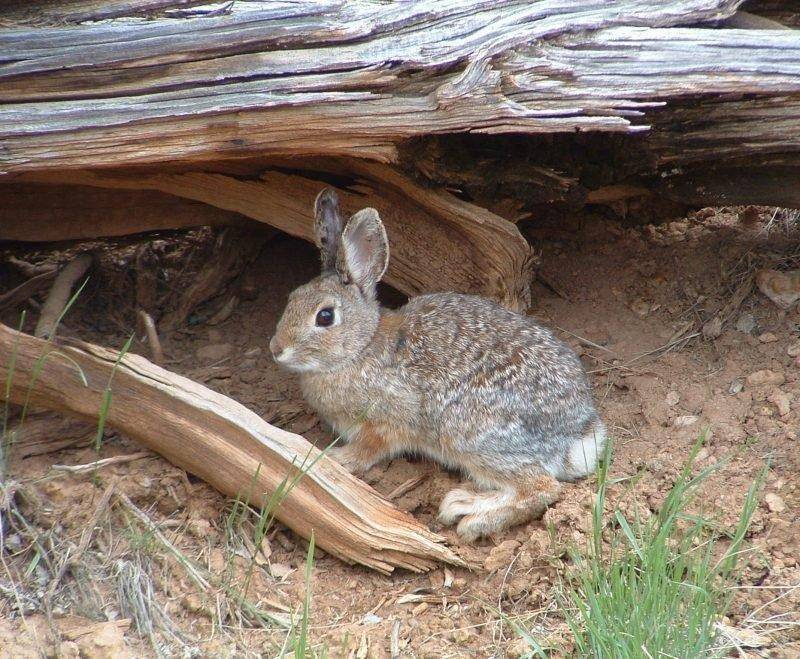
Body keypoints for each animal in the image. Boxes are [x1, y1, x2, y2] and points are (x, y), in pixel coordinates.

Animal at [270, 187, 608, 540]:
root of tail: (579, 431)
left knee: (542, 486)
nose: (276, 349)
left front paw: (337, 459)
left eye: (325, 317)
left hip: (468, 432)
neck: (362, 346)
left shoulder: (383, 423)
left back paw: (470, 512)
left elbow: (370, 450)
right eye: (292, 298)